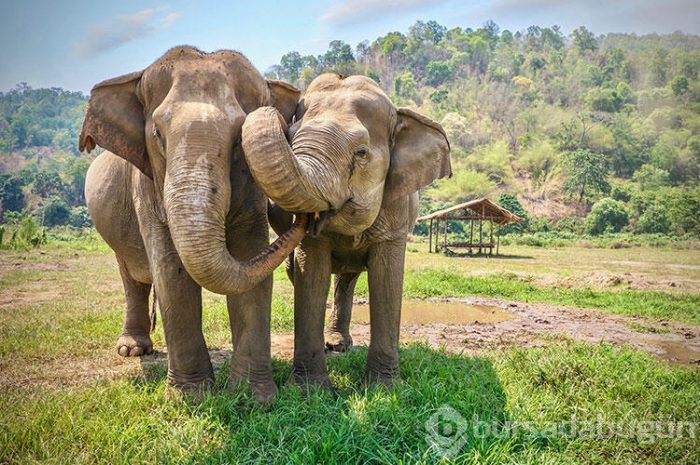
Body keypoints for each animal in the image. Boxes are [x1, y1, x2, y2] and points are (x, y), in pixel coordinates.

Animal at [79, 47, 308, 402]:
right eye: (157, 134)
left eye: (239, 139)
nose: (305, 217)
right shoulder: (147, 186)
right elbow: (171, 274)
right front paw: (191, 398)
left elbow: (251, 260)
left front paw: (253, 398)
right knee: (132, 276)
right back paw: (133, 350)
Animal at [241, 74, 452, 386]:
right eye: (290, 137)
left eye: (361, 152)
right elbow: (311, 275)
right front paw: (309, 390)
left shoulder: (397, 212)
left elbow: (387, 279)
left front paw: (384, 387)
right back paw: (331, 345)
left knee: (347, 279)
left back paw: (339, 344)